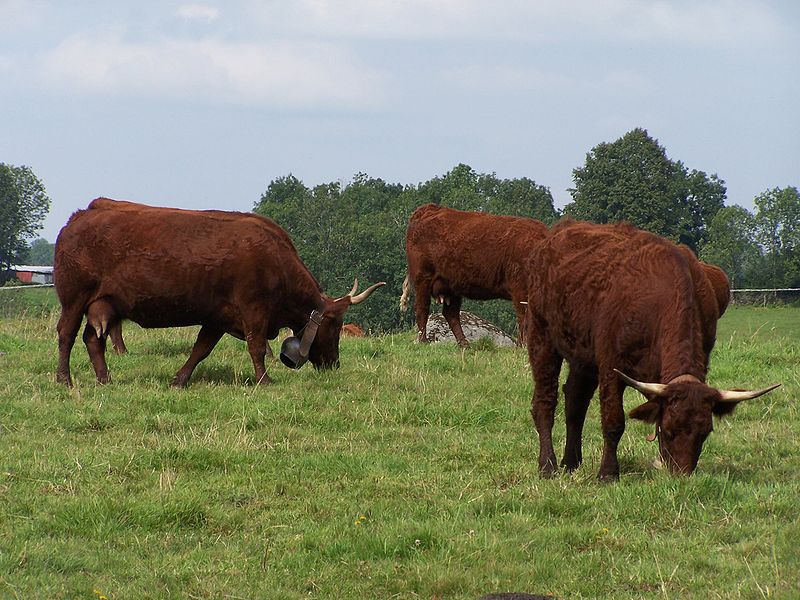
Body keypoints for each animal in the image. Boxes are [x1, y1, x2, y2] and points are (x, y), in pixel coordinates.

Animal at [54, 198, 384, 387]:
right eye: (335, 325)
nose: (334, 364)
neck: (276, 260)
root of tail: (79, 217)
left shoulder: (217, 317)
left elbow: (200, 350)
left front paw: (179, 380)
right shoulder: (254, 311)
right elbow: (256, 347)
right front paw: (264, 380)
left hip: (104, 304)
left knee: (93, 339)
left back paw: (104, 378)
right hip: (74, 300)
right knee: (67, 335)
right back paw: (64, 379)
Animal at [400, 203, 548, 346]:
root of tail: (429, 208)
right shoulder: (521, 291)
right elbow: (525, 319)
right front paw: (524, 345)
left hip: (452, 286)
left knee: (450, 313)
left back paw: (464, 343)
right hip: (423, 279)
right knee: (422, 308)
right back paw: (423, 340)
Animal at [525, 219, 779, 481]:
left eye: (706, 431)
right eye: (667, 429)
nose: (682, 475)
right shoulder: (610, 367)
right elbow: (613, 421)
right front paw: (608, 473)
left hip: (582, 356)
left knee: (575, 402)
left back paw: (571, 462)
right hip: (542, 337)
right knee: (545, 402)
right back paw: (548, 465)